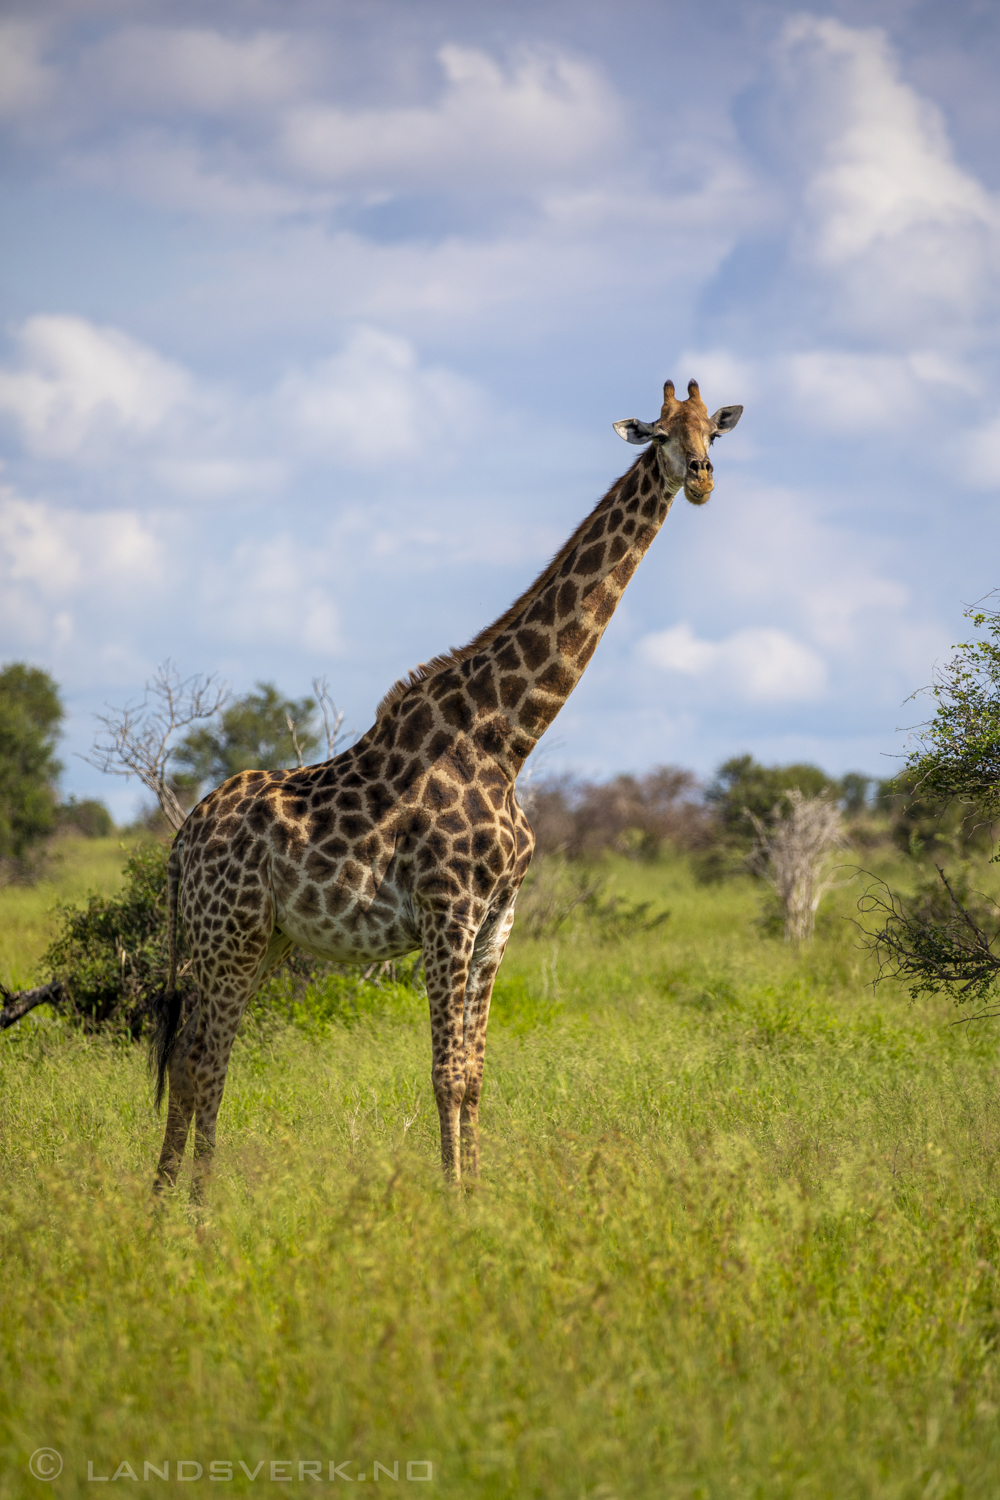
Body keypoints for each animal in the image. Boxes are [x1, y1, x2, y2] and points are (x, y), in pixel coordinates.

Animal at [150, 381, 743, 1188]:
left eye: (713, 429)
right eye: (658, 433)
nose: (703, 477)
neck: (507, 739)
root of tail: (183, 839)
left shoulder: (497, 923)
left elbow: (476, 1074)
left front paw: (479, 1192)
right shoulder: (448, 911)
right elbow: (446, 1073)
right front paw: (452, 1197)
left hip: (259, 939)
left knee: (191, 1054)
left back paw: (164, 1198)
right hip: (228, 936)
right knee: (204, 1059)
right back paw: (197, 1203)